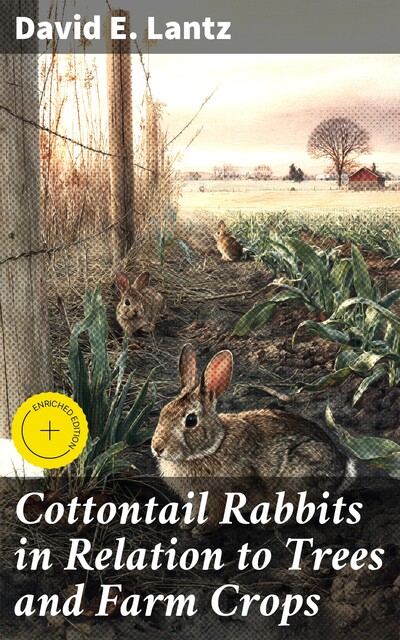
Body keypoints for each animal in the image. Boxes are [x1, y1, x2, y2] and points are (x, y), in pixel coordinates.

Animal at [151, 344, 351, 535]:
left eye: (191, 420)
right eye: (163, 412)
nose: (157, 447)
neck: (213, 446)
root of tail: (343, 469)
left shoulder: (225, 494)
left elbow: (218, 515)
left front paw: (202, 529)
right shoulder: (196, 498)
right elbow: (194, 510)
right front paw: (185, 524)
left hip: (298, 478)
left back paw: (266, 523)